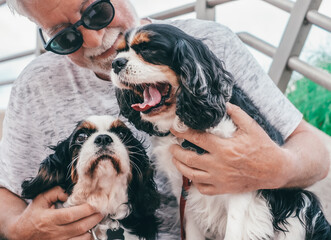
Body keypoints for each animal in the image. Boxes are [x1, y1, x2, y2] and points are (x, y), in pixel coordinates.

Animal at [111, 23, 331, 240]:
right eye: (119, 51)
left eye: (147, 49)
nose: (115, 63)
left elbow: (234, 229)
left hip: (301, 205)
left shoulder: (241, 186)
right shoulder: (186, 192)